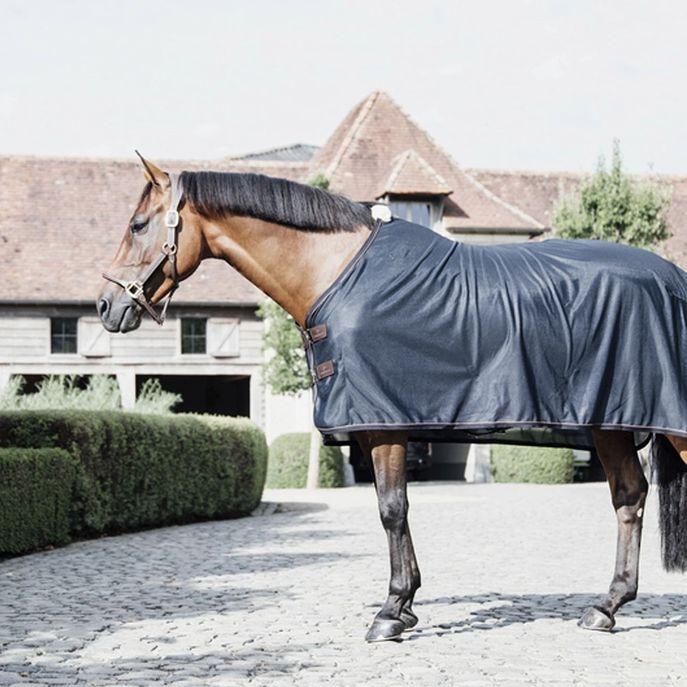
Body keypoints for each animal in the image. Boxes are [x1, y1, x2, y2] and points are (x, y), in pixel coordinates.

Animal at [98, 154, 687, 642]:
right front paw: (404, 607)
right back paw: (606, 607)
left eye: (137, 225)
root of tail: (675, 280)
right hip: (611, 424)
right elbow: (395, 508)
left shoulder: (383, 426)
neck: (336, 273)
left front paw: (392, 611)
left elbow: (391, 508)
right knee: (629, 497)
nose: (107, 305)